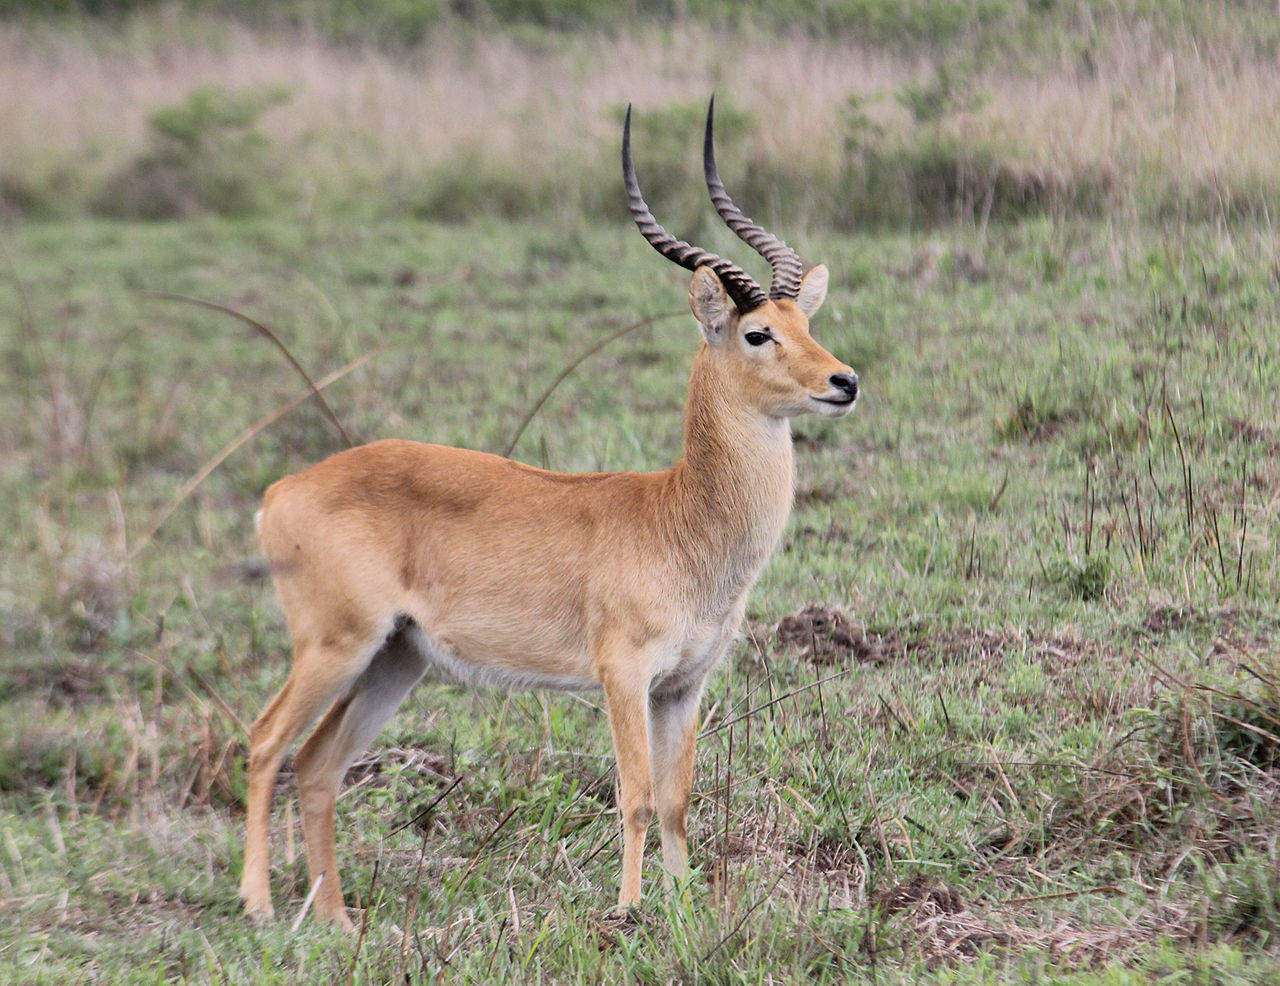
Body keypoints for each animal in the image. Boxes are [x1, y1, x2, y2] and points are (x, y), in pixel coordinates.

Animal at [240, 103, 860, 927]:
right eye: (759, 333)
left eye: (807, 322)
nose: (844, 380)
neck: (680, 517)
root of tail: (283, 490)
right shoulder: (623, 673)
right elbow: (634, 797)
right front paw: (627, 915)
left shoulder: (684, 685)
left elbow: (676, 801)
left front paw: (682, 912)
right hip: (333, 646)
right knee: (264, 741)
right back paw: (258, 905)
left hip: (394, 659)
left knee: (316, 765)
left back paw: (338, 922)